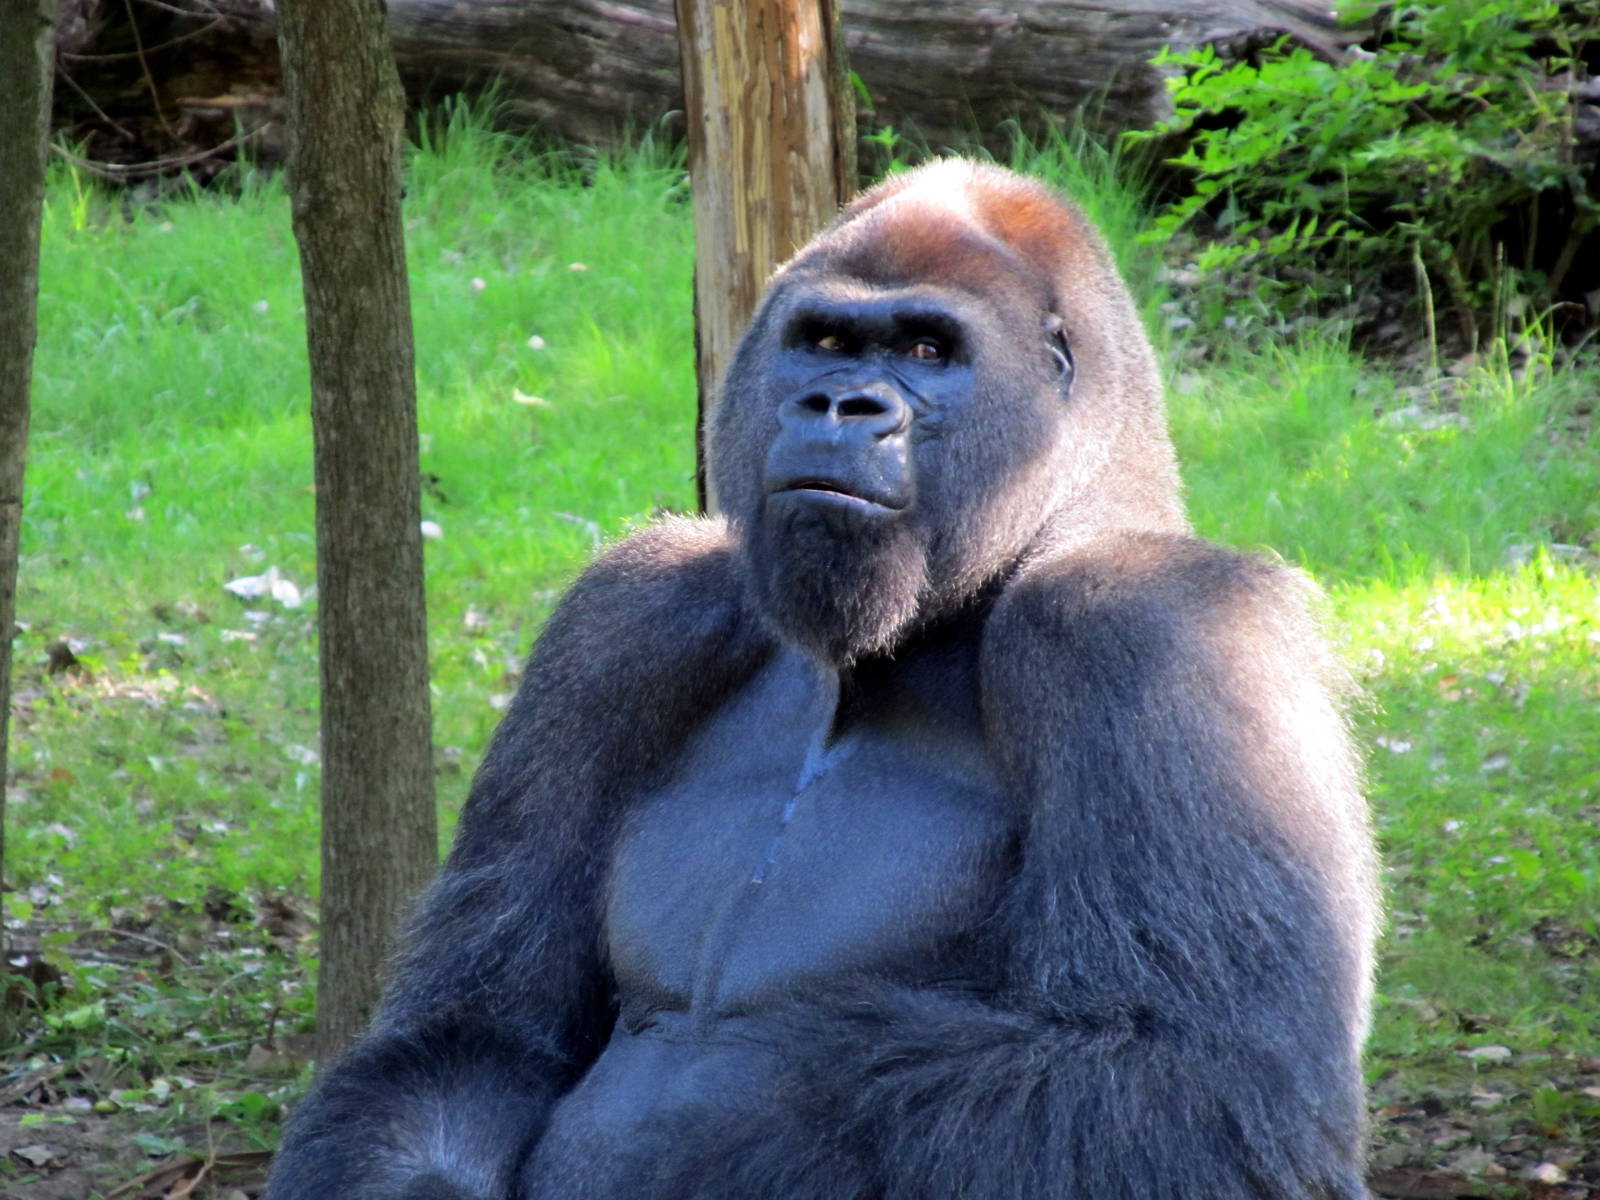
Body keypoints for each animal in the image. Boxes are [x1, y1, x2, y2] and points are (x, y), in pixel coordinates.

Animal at [267, 159, 1378, 1200]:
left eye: (928, 351)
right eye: (828, 343)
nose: (840, 405)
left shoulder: (1150, 628)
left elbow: (1196, 1076)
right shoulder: (621, 622)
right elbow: (476, 1027)